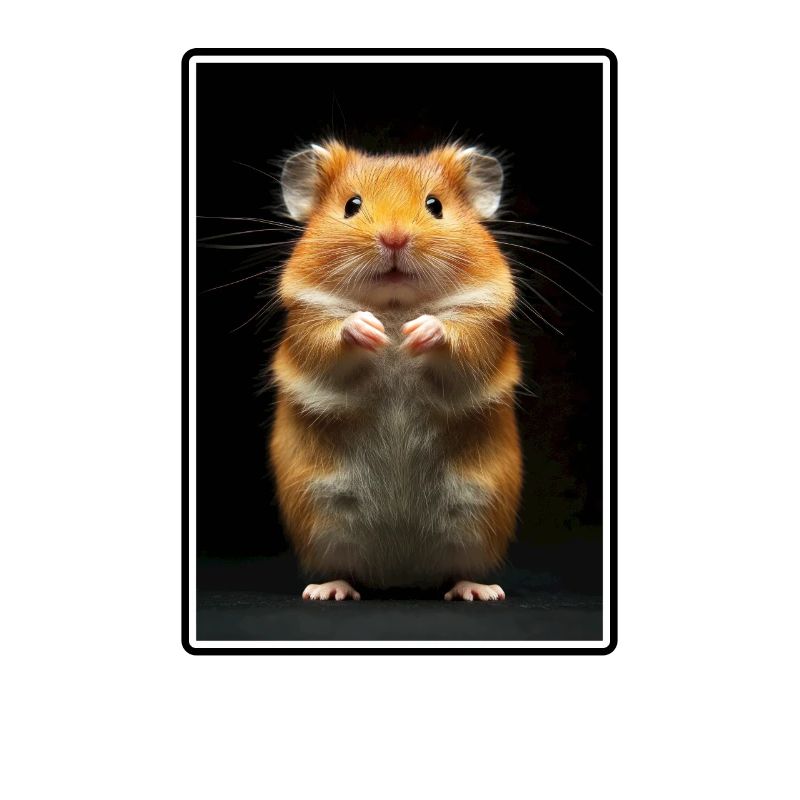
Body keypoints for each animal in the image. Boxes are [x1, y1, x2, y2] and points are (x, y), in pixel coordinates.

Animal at [269, 140, 522, 601]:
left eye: (435, 205)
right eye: (351, 205)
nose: (394, 238)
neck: (394, 303)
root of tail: (401, 576)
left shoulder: (483, 328)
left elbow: (459, 338)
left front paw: (417, 332)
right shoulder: (307, 326)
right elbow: (331, 337)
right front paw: (370, 330)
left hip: (477, 517)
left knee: (458, 570)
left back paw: (480, 591)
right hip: (322, 518)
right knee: (345, 569)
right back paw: (327, 590)